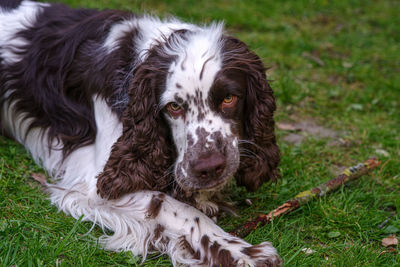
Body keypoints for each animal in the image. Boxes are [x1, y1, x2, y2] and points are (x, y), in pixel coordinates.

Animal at [0, 1, 282, 266]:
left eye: (229, 98)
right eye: (174, 106)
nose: (209, 167)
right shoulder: (98, 186)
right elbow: (171, 207)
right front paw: (241, 252)